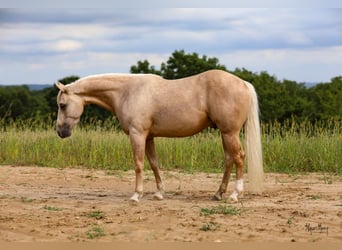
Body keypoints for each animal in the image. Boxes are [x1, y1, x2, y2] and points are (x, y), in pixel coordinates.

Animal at [56, 69, 264, 202]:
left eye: (62, 105)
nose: (60, 131)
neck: (127, 92)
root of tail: (243, 83)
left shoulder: (137, 135)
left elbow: (139, 165)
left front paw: (136, 196)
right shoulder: (148, 137)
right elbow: (154, 164)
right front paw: (159, 193)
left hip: (230, 133)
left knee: (239, 158)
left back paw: (235, 195)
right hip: (225, 134)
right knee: (229, 159)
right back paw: (218, 194)